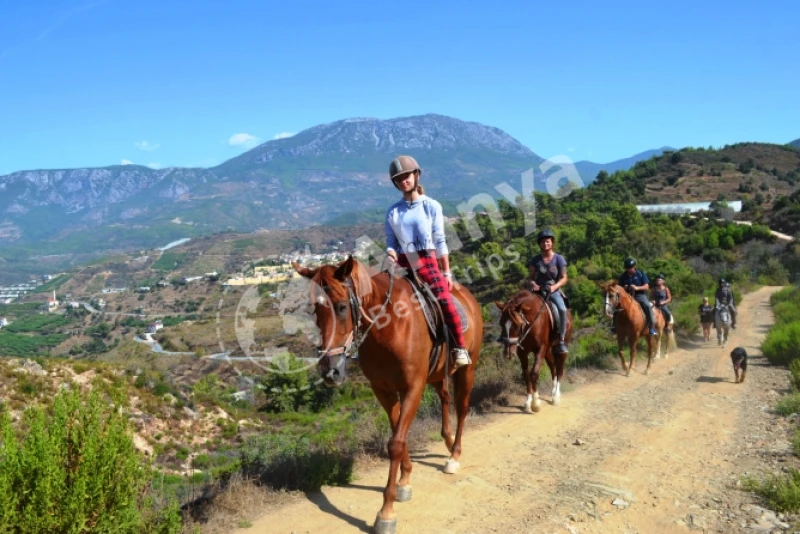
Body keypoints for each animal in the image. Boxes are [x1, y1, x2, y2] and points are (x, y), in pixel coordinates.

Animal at [294, 255, 482, 534]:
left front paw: (386, 511)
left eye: (341, 307)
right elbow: (396, 433)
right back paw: (447, 441)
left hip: (467, 368)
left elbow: (395, 443)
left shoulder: (412, 387)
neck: (389, 325)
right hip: (437, 373)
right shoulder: (383, 389)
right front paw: (405, 480)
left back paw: (454, 455)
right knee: (446, 398)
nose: (330, 372)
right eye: (314, 310)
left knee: (462, 405)